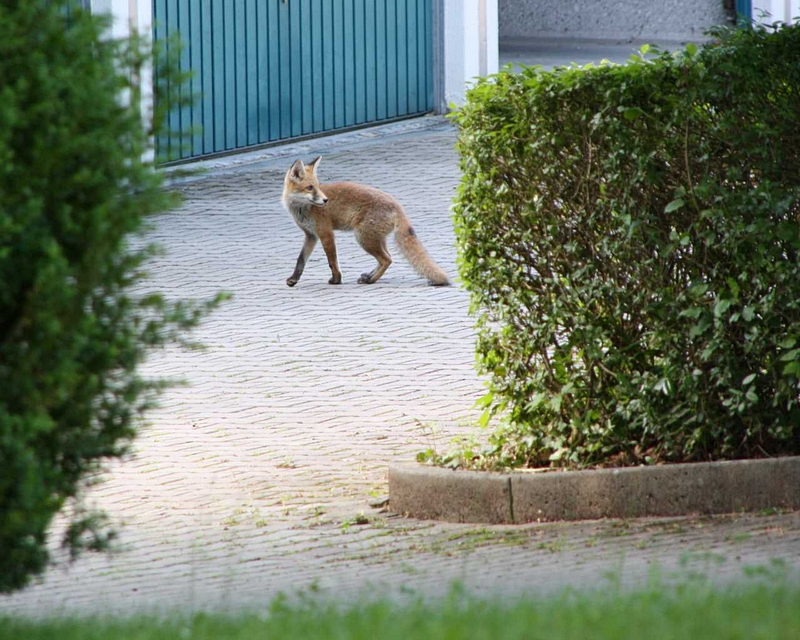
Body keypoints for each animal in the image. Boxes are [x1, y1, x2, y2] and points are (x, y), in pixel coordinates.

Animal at [280, 156, 450, 286]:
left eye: (317, 186)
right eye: (310, 187)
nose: (325, 200)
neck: (303, 209)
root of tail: (397, 206)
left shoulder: (326, 233)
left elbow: (332, 261)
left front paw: (336, 280)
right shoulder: (311, 235)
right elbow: (300, 260)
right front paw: (293, 279)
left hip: (363, 238)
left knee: (386, 259)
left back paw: (370, 280)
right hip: (374, 239)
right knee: (386, 258)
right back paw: (369, 276)